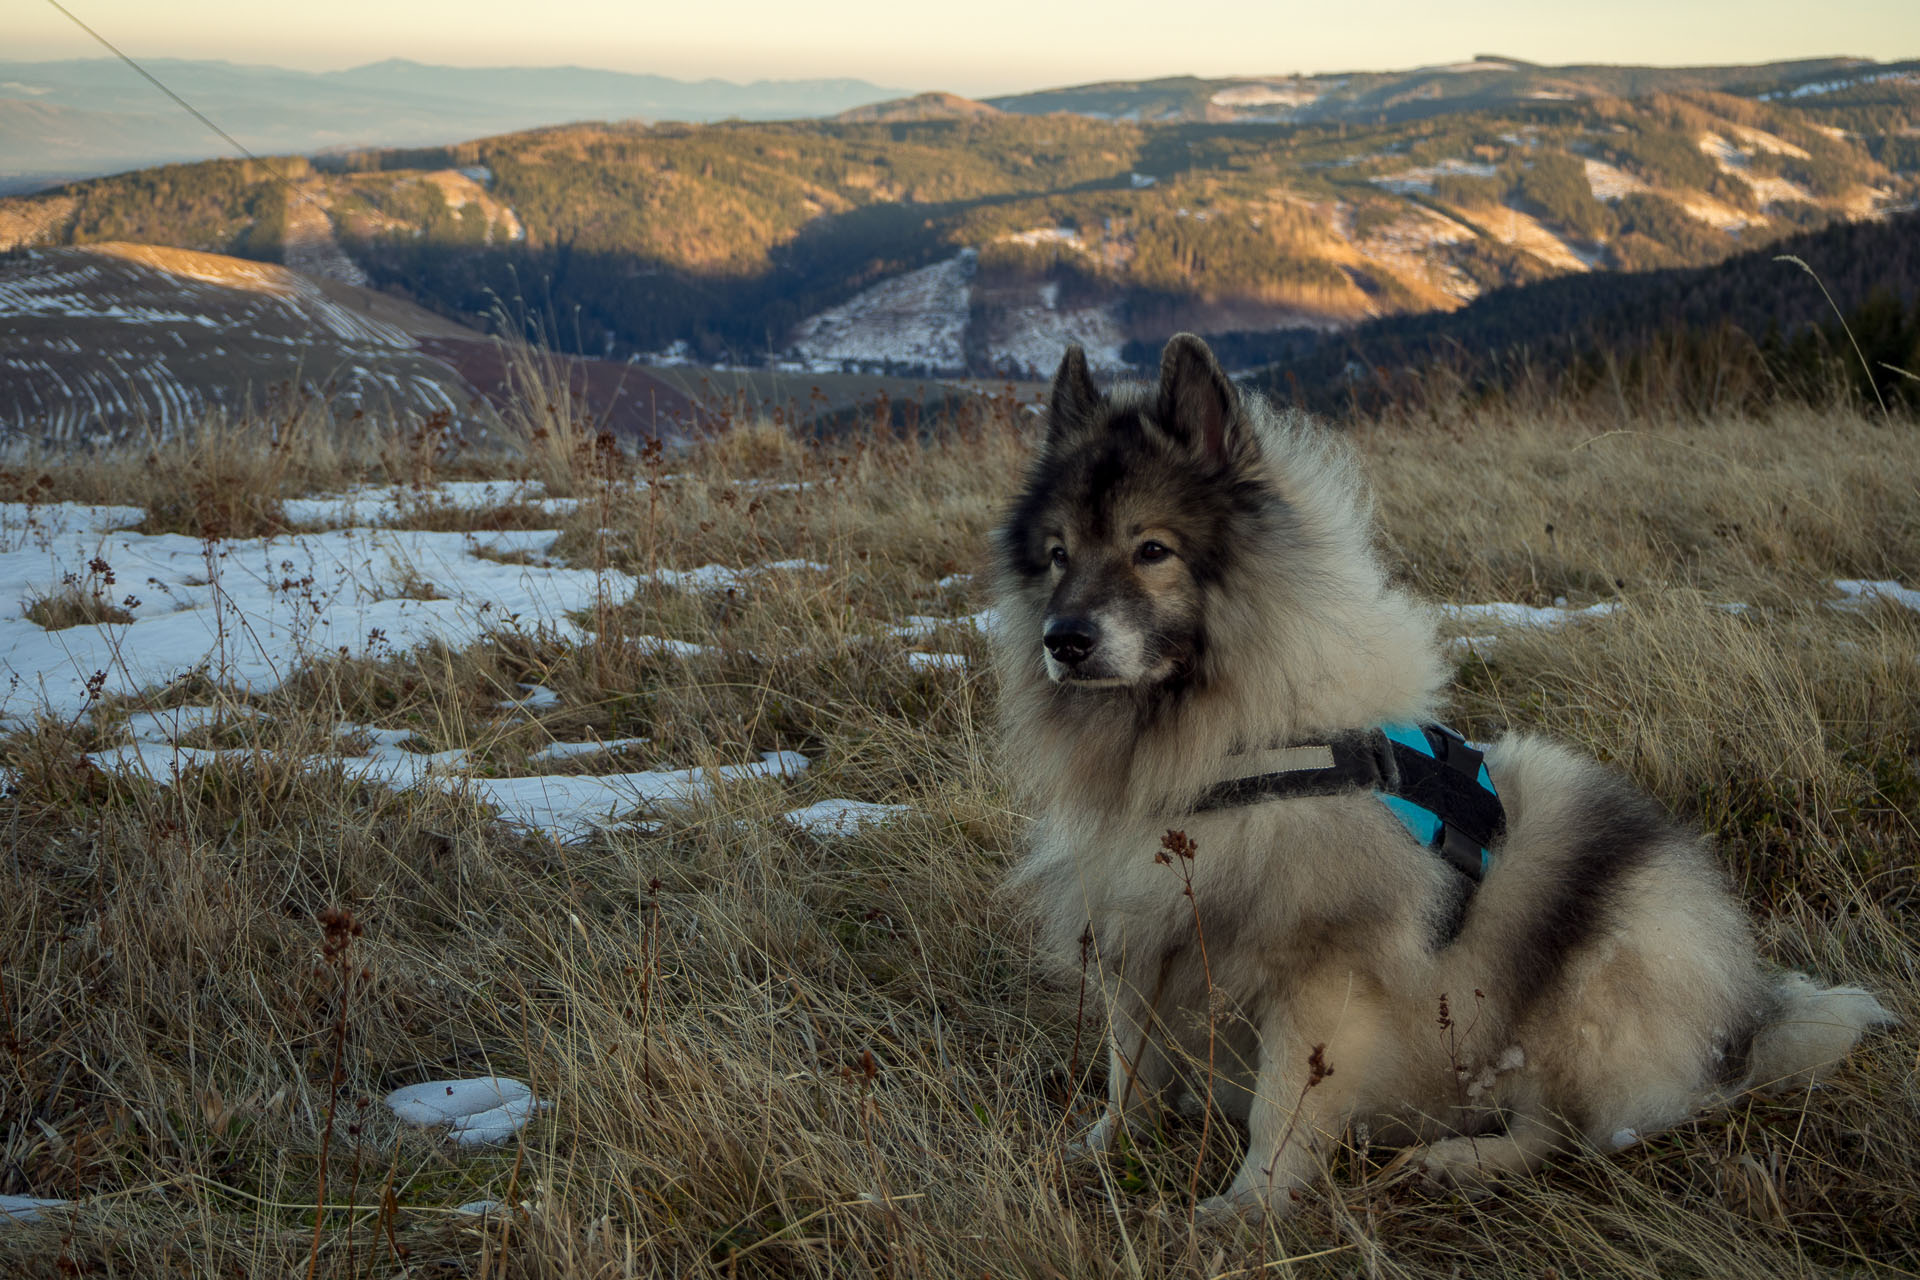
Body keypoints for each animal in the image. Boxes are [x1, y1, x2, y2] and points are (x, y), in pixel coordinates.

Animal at [998, 335, 1896, 1220]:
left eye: (1152, 550)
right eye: (1058, 556)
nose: (1063, 639)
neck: (1235, 744)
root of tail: (1740, 1023)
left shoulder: (1319, 971)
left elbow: (1283, 1104)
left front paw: (1250, 1208)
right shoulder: (1139, 936)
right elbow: (1130, 1069)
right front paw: (1104, 1149)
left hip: (1589, 977)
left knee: (1559, 1128)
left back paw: (1459, 1160)